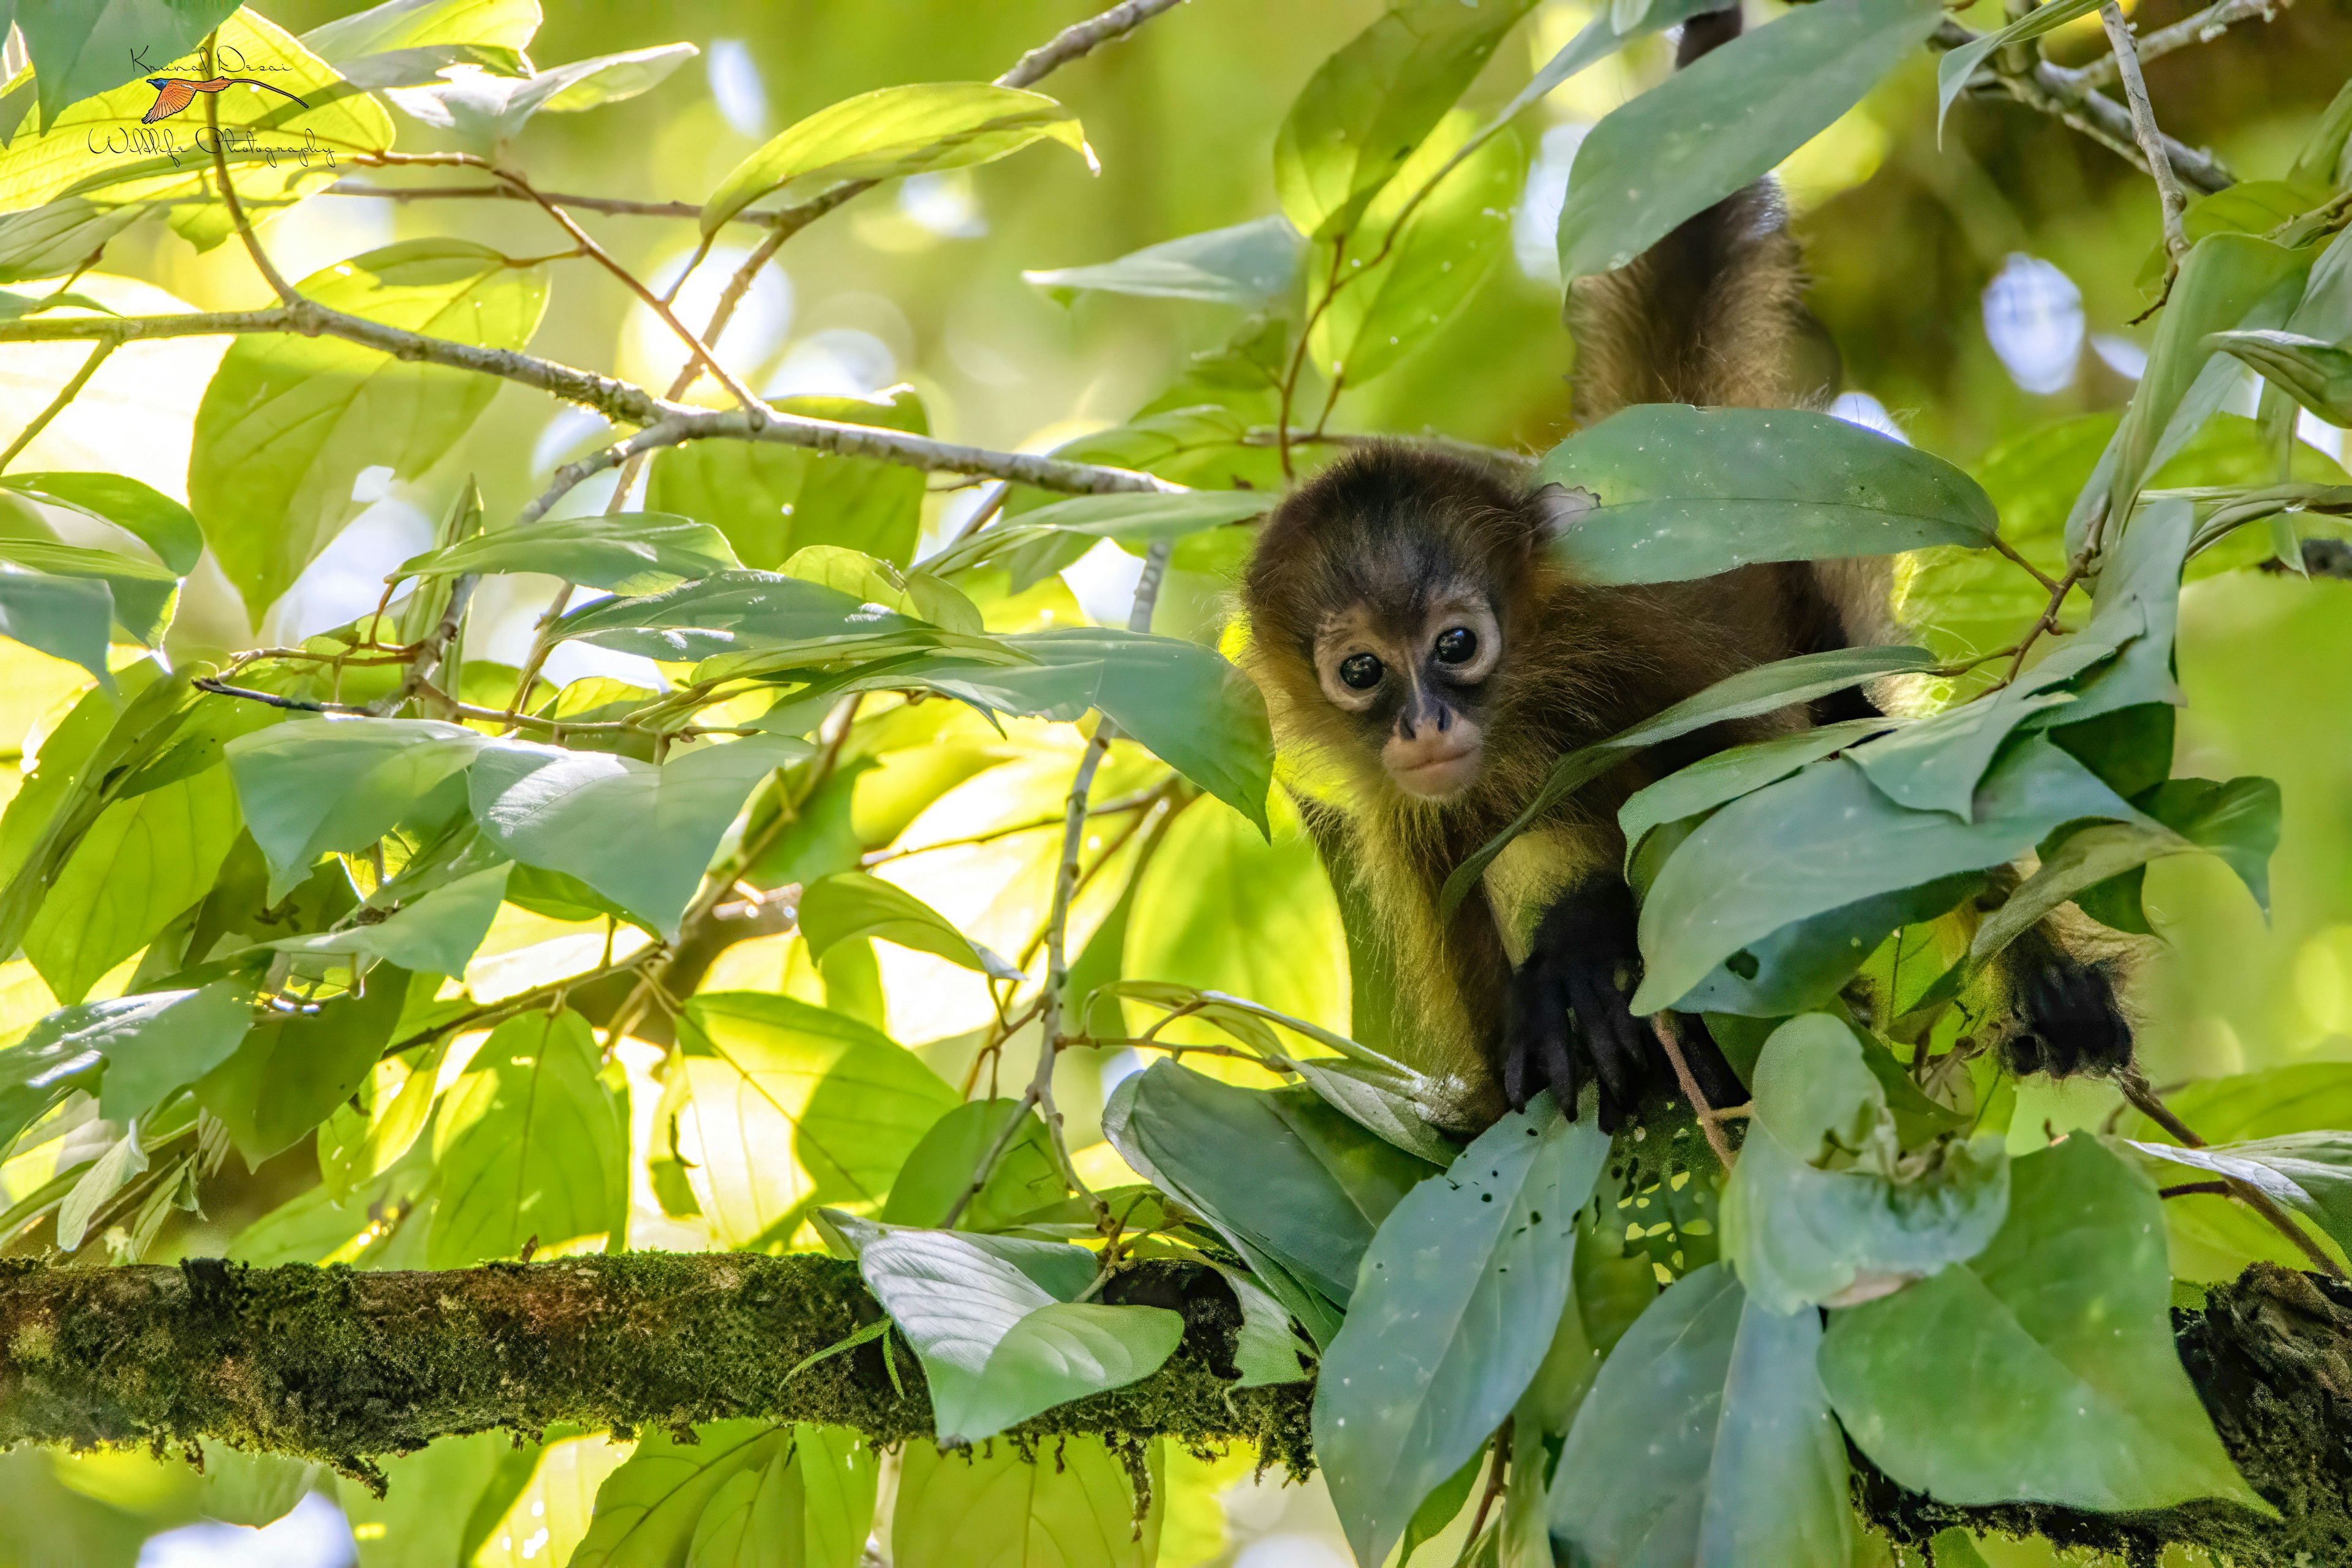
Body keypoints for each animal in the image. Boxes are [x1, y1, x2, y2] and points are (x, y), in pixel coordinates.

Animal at [1242, 15, 2145, 1142]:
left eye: (1456, 645)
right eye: (1362, 671)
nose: (1424, 724)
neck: (1525, 703)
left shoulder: (1636, 657)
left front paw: (1587, 951)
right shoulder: (1410, 818)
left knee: (1858, 742)